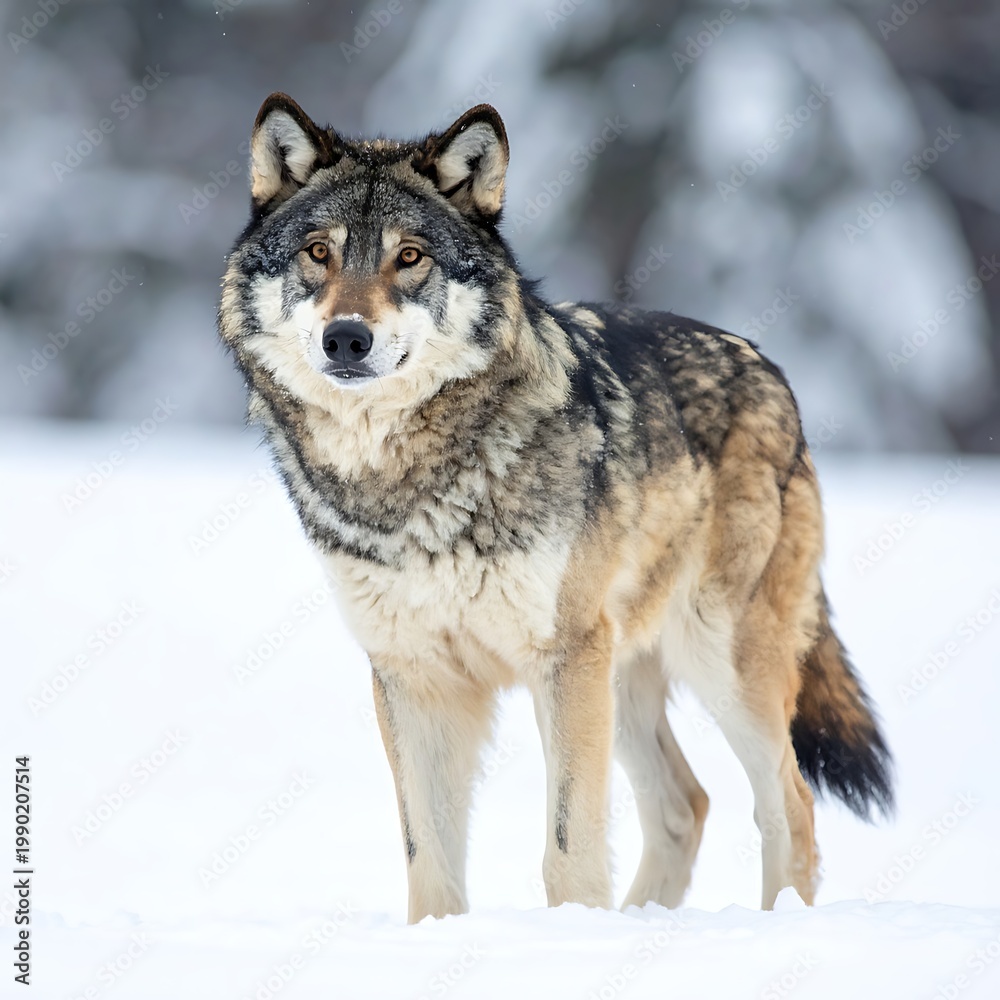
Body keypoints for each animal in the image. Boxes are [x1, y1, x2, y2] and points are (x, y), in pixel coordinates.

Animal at [219, 93, 893, 923]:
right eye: (318, 253)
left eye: (410, 258)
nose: (347, 338)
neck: (407, 485)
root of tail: (771, 370)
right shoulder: (414, 677)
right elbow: (428, 860)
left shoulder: (562, 660)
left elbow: (569, 848)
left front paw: (574, 929)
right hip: (626, 675)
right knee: (687, 805)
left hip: (715, 661)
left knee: (789, 805)